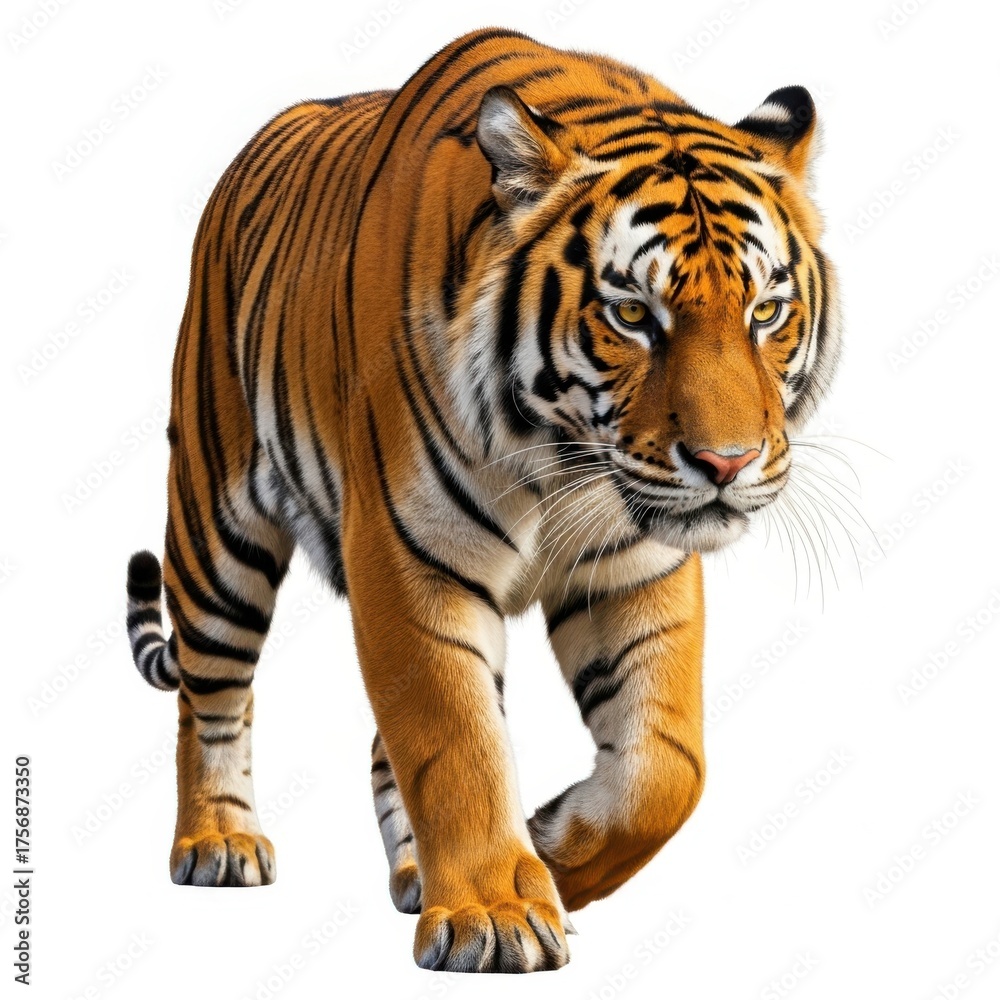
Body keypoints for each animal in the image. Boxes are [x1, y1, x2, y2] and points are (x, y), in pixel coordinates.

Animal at [124, 27, 840, 973]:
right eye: (631, 314)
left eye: (765, 311)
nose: (727, 463)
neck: (558, 455)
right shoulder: (409, 557)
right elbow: (456, 740)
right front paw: (495, 916)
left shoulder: (635, 567)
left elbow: (668, 764)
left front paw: (553, 850)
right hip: (216, 526)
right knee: (209, 694)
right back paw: (217, 843)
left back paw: (417, 874)